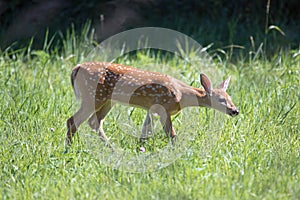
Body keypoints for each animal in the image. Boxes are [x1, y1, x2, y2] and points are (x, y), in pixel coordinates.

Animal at [66, 61, 239, 145]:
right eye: (221, 100)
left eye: (230, 98)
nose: (235, 110)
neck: (182, 95)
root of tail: (76, 68)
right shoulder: (163, 107)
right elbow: (171, 134)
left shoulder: (152, 109)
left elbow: (145, 131)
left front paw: (140, 148)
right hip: (93, 96)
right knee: (73, 120)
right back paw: (69, 148)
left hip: (107, 100)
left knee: (94, 122)